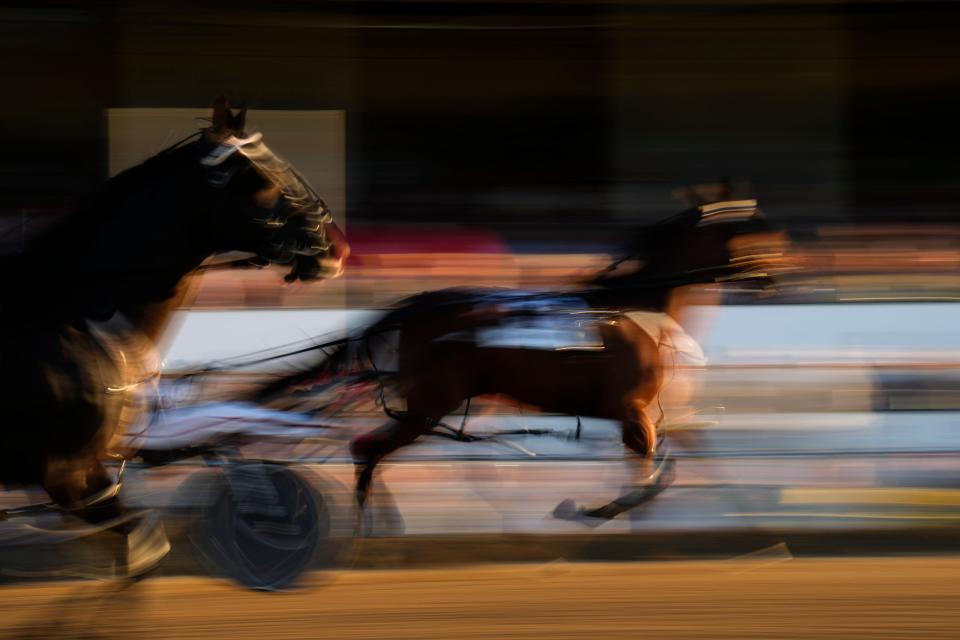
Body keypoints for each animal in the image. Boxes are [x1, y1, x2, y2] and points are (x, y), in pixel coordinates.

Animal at [0, 100, 350, 576]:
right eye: (259, 177)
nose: (337, 249)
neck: (68, 312)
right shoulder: (67, 473)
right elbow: (141, 544)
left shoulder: (89, 474)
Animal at [258, 198, 776, 524]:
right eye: (753, 237)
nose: (771, 278)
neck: (638, 308)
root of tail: (415, 307)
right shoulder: (628, 408)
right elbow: (652, 469)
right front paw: (588, 510)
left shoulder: (656, 411)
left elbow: (689, 456)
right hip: (431, 405)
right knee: (366, 448)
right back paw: (374, 527)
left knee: (372, 450)